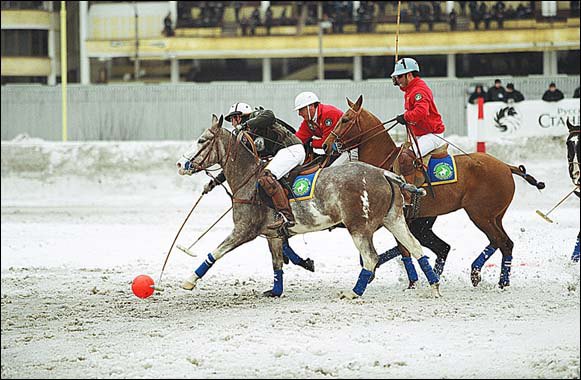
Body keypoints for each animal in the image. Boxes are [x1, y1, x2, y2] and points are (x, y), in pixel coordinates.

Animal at [176, 114, 440, 298]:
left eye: (202, 140)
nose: (180, 164)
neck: (248, 179)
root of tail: (385, 173)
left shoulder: (244, 230)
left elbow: (215, 252)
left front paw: (189, 280)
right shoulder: (273, 234)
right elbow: (277, 264)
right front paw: (276, 291)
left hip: (359, 226)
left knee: (371, 257)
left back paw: (354, 292)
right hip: (393, 219)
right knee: (415, 247)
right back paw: (434, 287)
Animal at [322, 95, 544, 288]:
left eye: (345, 119)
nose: (325, 145)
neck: (383, 162)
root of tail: (506, 166)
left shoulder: (396, 219)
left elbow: (404, 250)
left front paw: (412, 283)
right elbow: (403, 250)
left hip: (480, 214)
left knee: (500, 241)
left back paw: (483, 276)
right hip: (495, 216)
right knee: (504, 242)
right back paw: (495, 279)